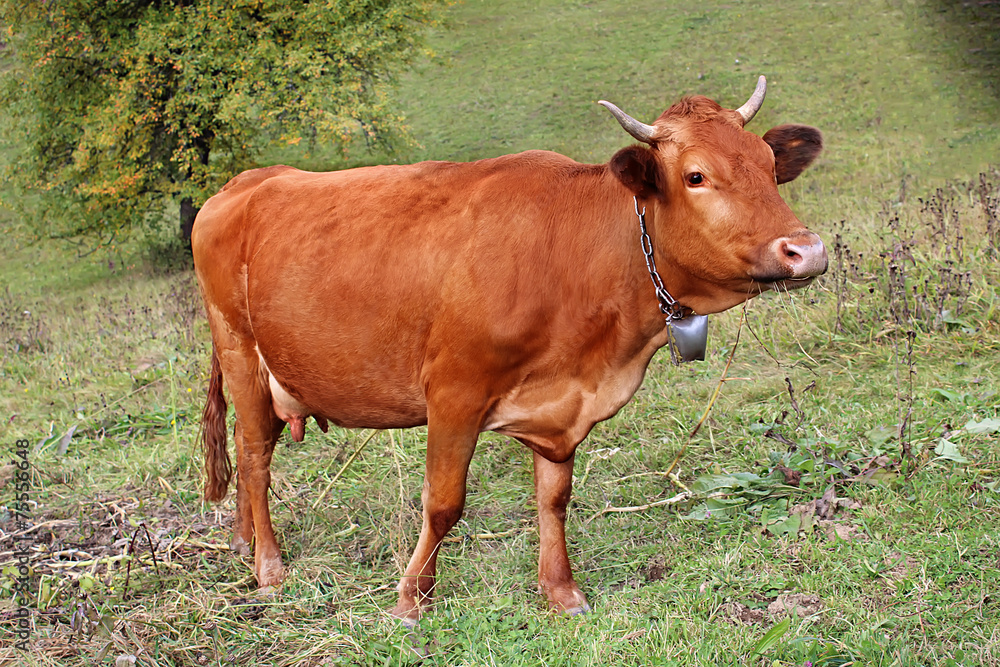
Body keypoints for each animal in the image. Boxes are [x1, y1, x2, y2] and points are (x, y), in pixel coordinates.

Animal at [191, 78, 824, 628]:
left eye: (769, 167)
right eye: (696, 176)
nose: (808, 251)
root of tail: (244, 182)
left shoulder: (562, 407)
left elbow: (554, 498)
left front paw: (561, 591)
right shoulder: (454, 389)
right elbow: (444, 502)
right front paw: (411, 599)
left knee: (249, 453)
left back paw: (244, 541)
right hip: (239, 348)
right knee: (254, 457)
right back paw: (269, 568)